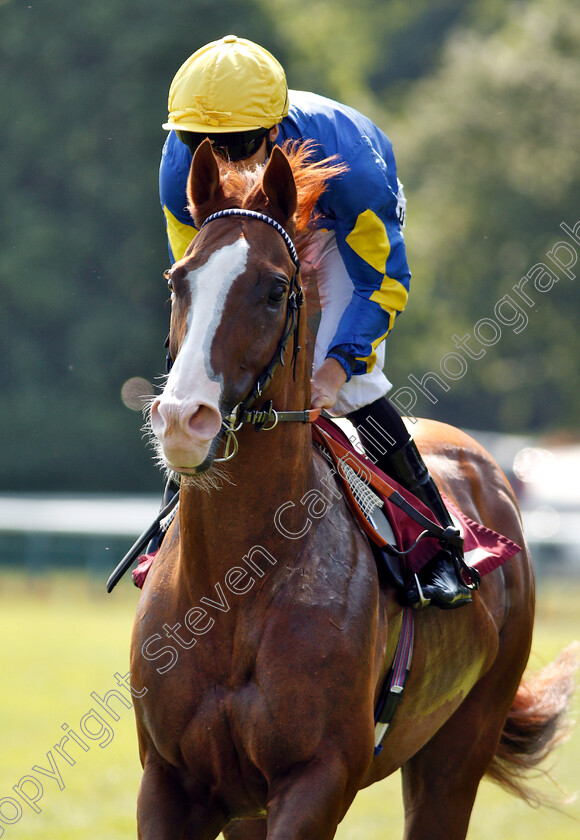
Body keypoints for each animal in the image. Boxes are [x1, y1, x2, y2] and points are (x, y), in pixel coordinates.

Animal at [130, 143, 576, 840]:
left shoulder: (318, 777)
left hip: (460, 746)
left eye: (275, 290)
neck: (235, 583)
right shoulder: (171, 783)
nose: (182, 420)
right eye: (179, 279)